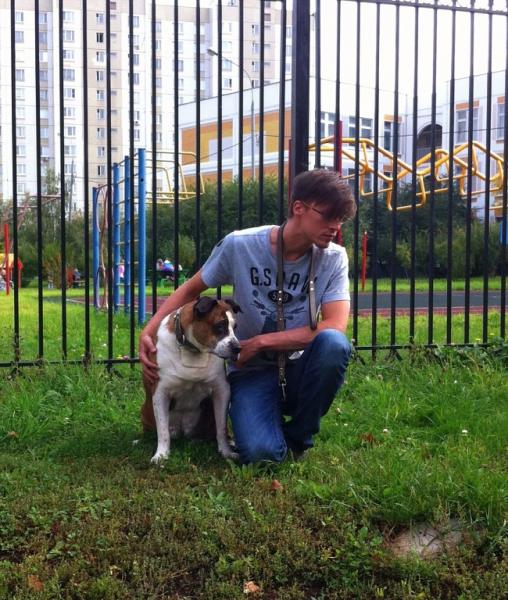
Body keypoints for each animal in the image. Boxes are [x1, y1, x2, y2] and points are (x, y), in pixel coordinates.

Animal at [141, 297, 242, 463]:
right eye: (220, 326)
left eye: (235, 327)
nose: (237, 348)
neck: (193, 350)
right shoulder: (161, 393)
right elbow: (162, 430)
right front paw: (161, 454)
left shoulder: (222, 391)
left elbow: (221, 427)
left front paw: (226, 451)